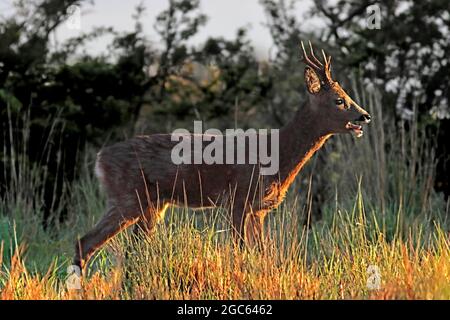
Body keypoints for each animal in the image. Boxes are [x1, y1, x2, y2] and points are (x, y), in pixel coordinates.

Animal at [74, 41, 370, 268]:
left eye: (348, 94)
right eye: (339, 100)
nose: (364, 116)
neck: (275, 153)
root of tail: (100, 159)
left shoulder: (258, 209)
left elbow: (262, 252)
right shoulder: (237, 199)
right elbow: (241, 250)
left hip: (152, 204)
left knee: (131, 249)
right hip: (127, 197)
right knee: (84, 243)